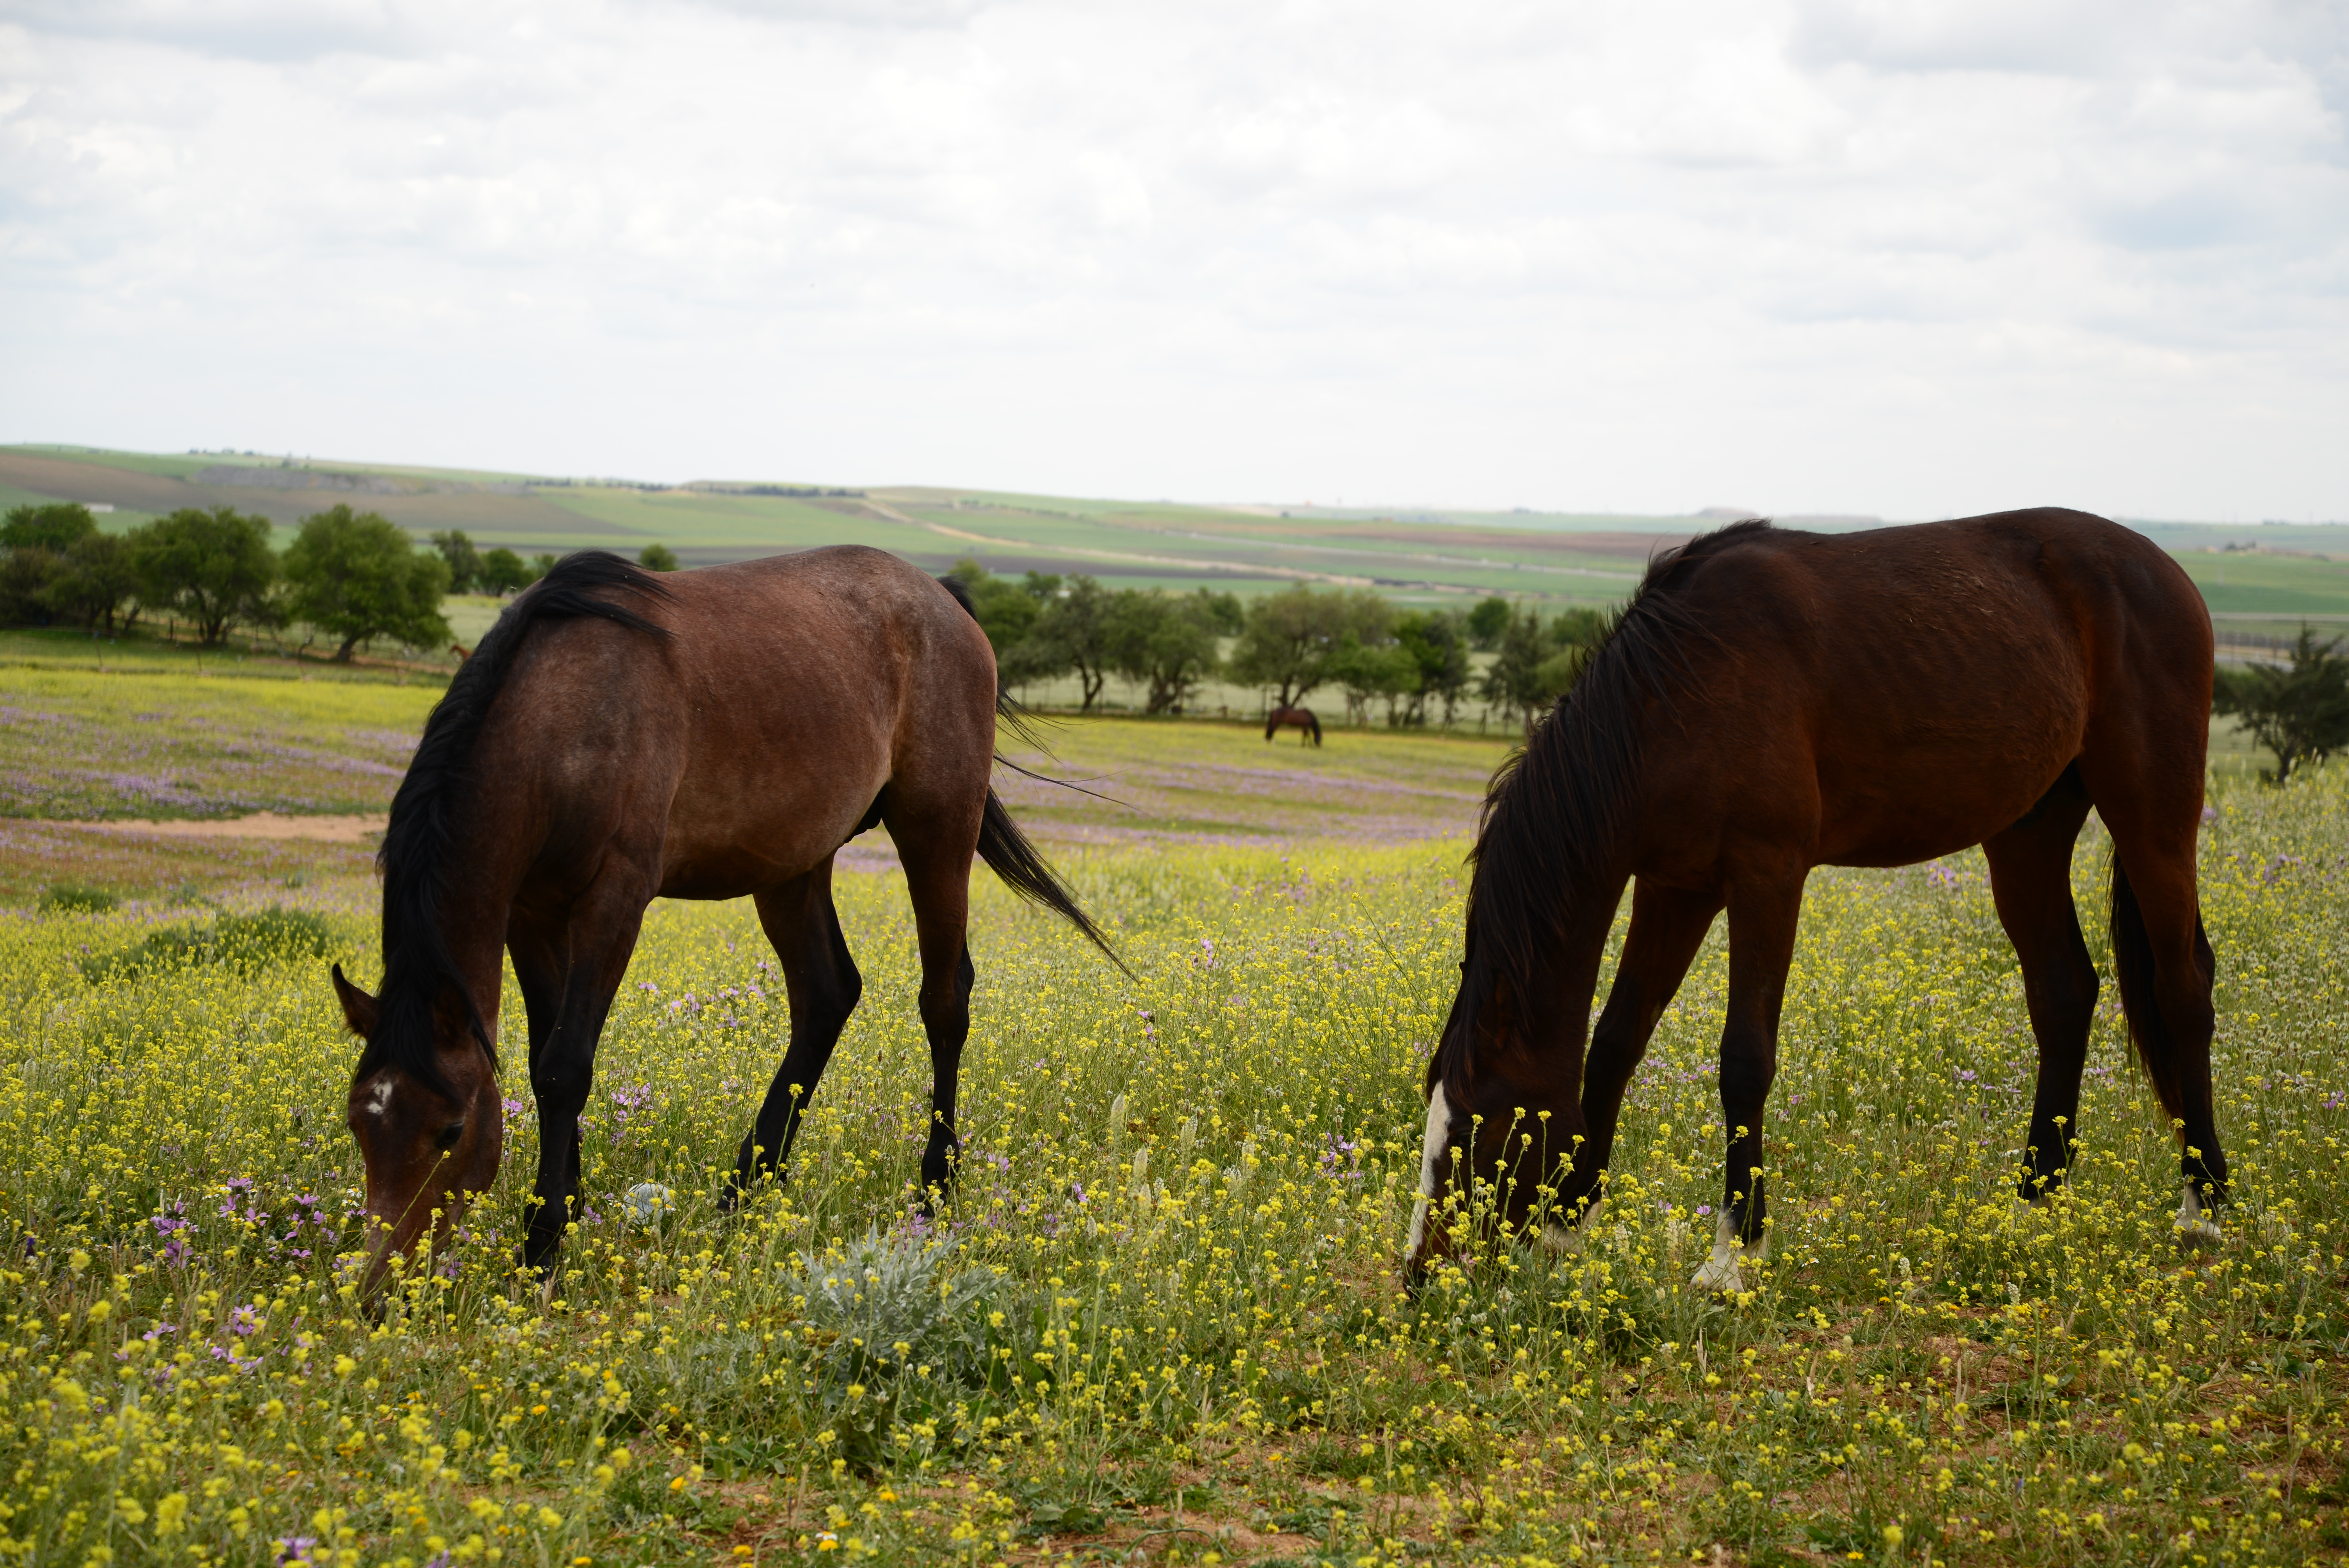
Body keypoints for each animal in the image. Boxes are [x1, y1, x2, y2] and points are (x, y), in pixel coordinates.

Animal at [330, 546, 1119, 1297]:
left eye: (452, 1130)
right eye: (360, 1122)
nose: (380, 1291)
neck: (563, 715)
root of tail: (944, 602)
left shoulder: (615, 900)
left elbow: (563, 1069)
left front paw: (543, 1246)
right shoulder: (530, 914)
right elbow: (538, 1060)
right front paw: (566, 1213)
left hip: (937, 828)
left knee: (944, 1001)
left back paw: (933, 1190)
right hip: (794, 865)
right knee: (827, 995)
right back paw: (747, 1188)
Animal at [1266, 705, 1323, 746]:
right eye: (1320, 738)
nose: (1320, 746)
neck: (1309, 716)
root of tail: (1274, 710)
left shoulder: (1304, 727)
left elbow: (1307, 735)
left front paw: (1308, 745)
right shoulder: (1306, 726)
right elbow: (1306, 735)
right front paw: (1304, 745)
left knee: (1270, 730)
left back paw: (1268, 741)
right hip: (1276, 723)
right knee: (1271, 730)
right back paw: (1272, 742)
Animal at [1406, 509, 2225, 1294]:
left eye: (1479, 1131)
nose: (1421, 1278)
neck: (1675, 692)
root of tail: (2165, 571)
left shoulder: (1766, 875)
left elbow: (1743, 1060)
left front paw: (1734, 1253)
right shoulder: (1675, 884)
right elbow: (1615, 1042)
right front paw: (1568, 1226)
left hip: (2153, 812)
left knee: (2183, 988)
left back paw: (2204, 1207)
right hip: (2029, 831)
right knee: (2063, 993)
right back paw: (2034, 1204)